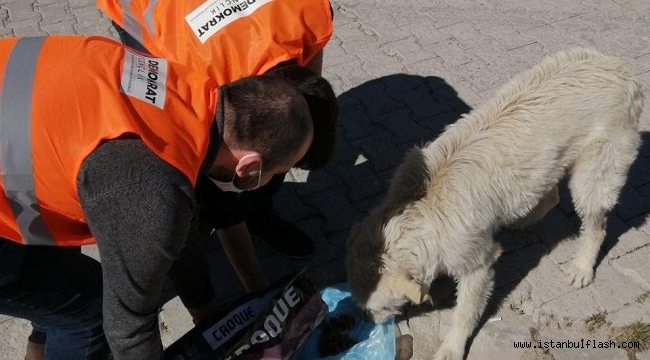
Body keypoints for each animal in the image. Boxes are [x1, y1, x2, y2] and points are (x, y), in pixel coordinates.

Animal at [346, 48, 640, 360]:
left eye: (374, 307)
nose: (362, 319)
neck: (419, 206)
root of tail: (621, 70)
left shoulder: (477, 262)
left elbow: (465, 311)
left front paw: (452, 345)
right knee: (550, 195)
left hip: (595, 173)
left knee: (596, 224)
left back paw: (582, 266)